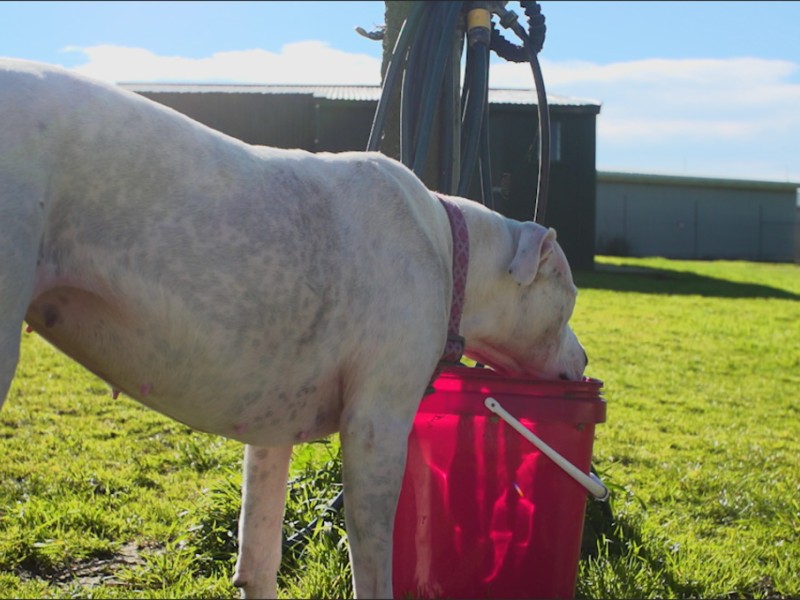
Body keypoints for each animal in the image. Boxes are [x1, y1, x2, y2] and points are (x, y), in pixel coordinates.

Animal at [0, 58, 588, 596]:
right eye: (572, 297)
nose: (584, 360)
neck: (449, 246)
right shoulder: (376, 429)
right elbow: (373, 569)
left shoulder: (269, 436)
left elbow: (259, 558)